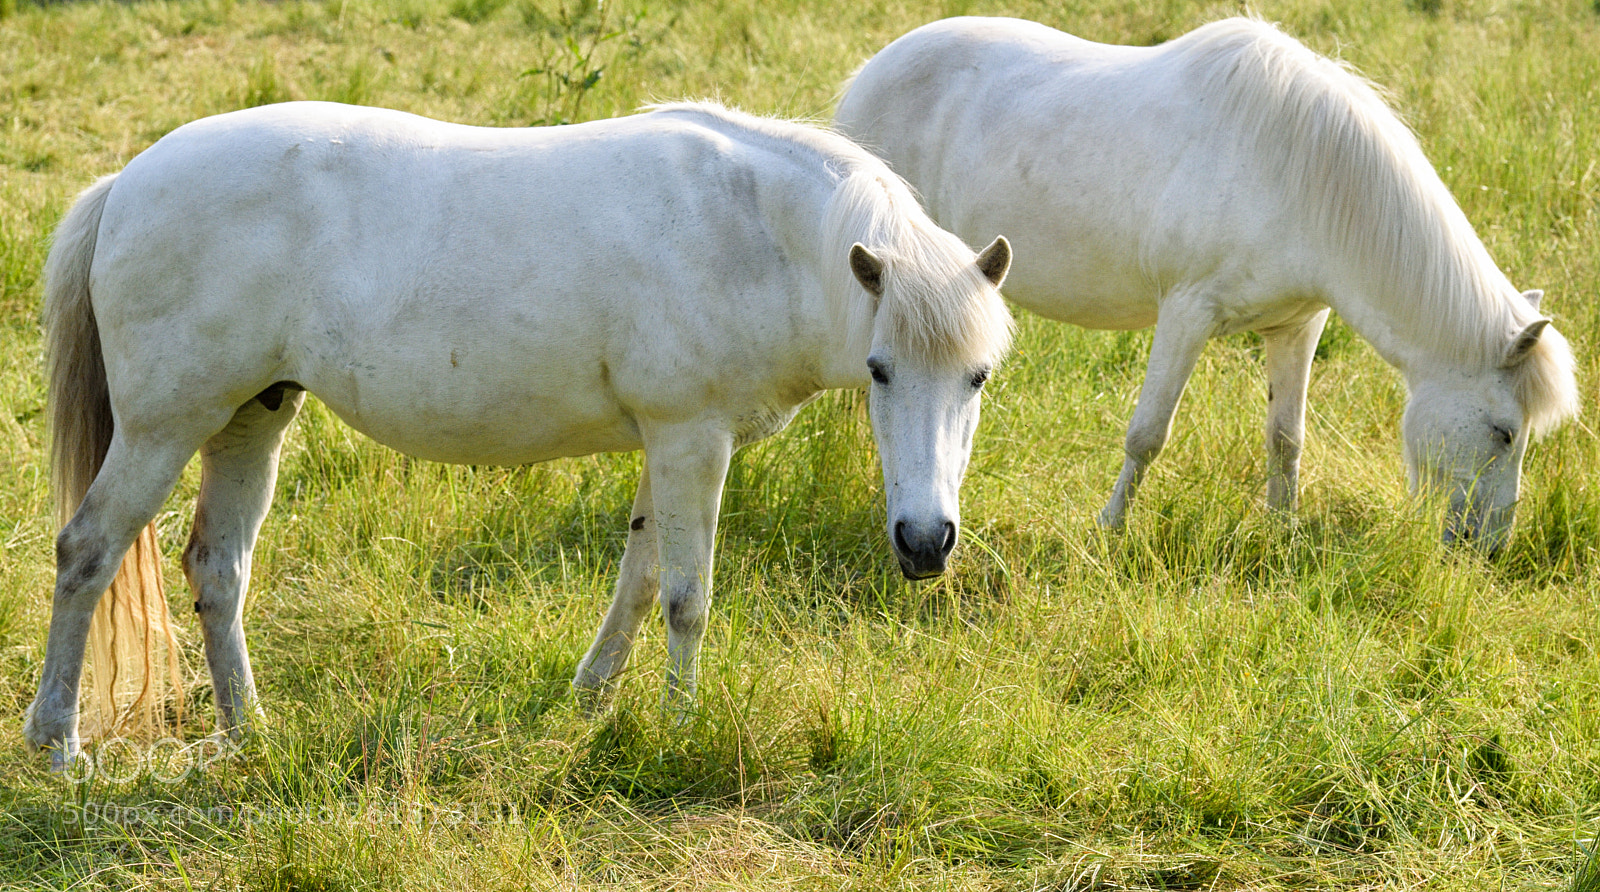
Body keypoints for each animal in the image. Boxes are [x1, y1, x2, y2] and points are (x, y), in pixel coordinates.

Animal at [23, 100, 1013, 769]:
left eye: (978, 376)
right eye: (881, 371)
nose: (926, 543)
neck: (751, 230)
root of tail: (128, 182)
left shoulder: (668, 445)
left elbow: (640, 581)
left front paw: (593, 701)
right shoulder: (692, 439)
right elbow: (686, 597)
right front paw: (681, 728)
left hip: (250, 418)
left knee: (218, 569)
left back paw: (249, 733)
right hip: (163, 427)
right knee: (87, 552)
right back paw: (58, 742)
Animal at [836, 17, 1579, 548]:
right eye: (1504, 432)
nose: (1488, 548)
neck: (1303, 172)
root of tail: (868, 73)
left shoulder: (1298, 325)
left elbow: (1286, 437)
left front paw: (1282, 532)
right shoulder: (1187, 314)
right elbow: (1147, 434)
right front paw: (1108, 531)